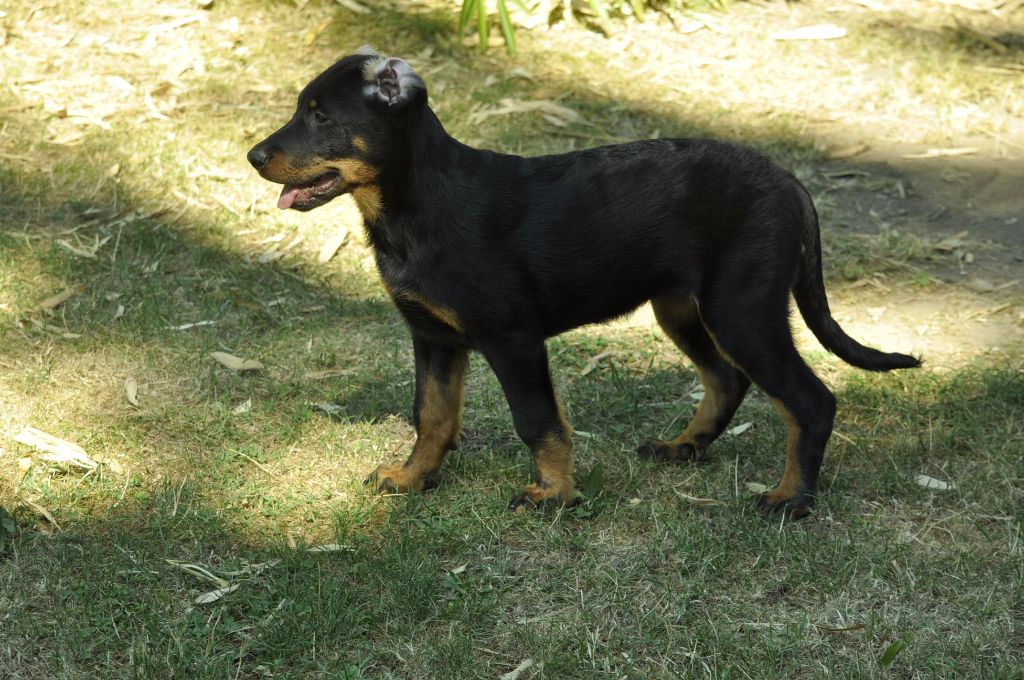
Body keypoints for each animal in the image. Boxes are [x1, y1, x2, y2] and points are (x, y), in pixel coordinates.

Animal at [247, 47, 921, 516]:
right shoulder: (434, 338)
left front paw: (553, 496)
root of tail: (789, 182)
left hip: (742, 309)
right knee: (728, 381)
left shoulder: (512, 339)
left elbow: (538, 420)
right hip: (682, 307)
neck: (413, 206)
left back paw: (791, 500)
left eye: (320, 117)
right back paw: (683, 447)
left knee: (810, 400)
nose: (253, 157)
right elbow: (431, 415)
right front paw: (413, 479)